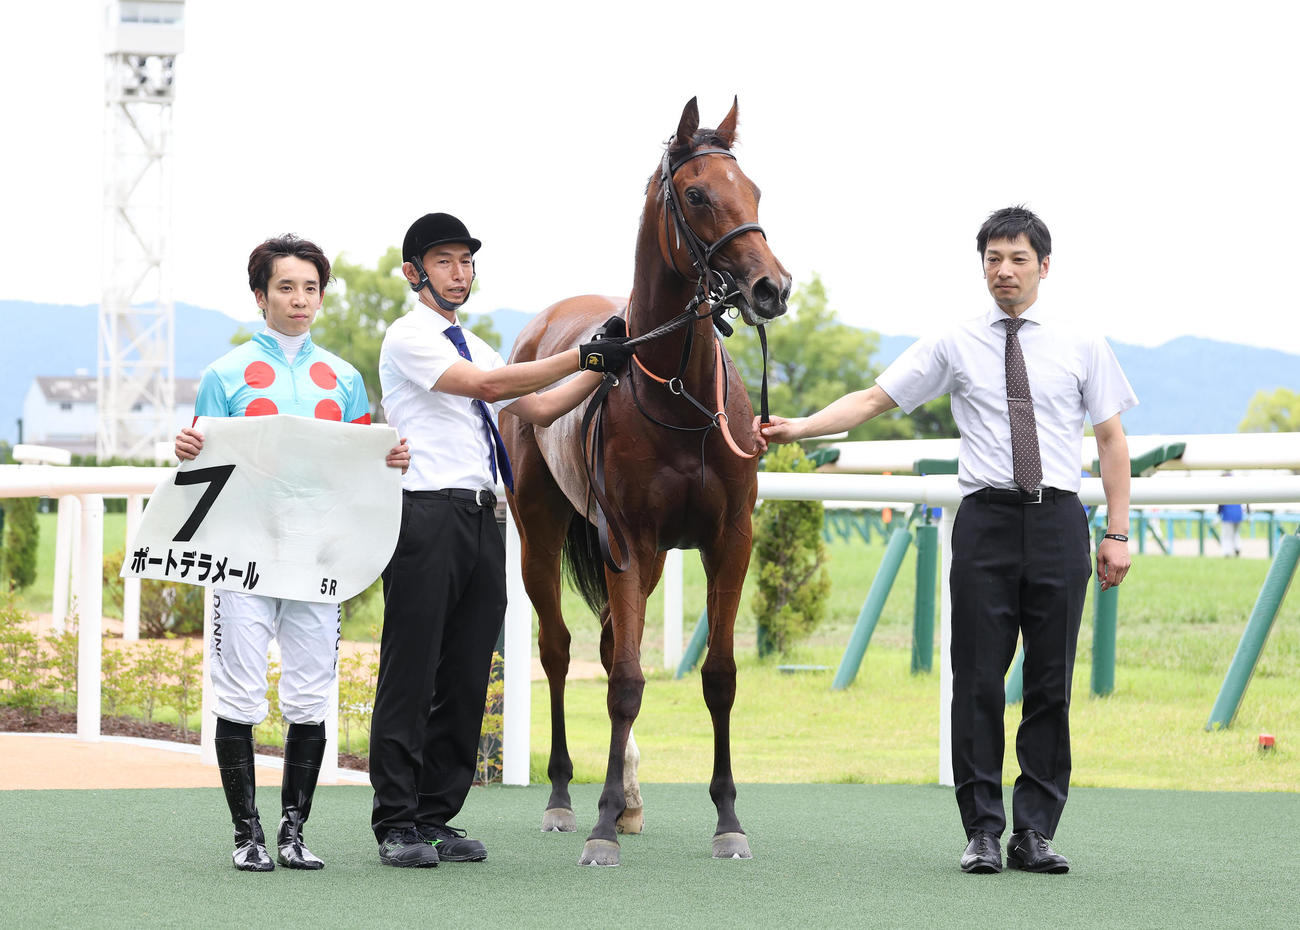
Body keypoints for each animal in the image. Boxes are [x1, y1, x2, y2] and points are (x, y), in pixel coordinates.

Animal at [501, 97, 790, 867]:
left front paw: (728, 820)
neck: (677, 395)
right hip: (540, 533)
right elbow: (626, 681)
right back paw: (565, 797)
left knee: (605, 647)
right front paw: (600, 827)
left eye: (753, 190)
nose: (771, 288)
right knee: (562, 652)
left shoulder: (728, 538)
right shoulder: (627, 540)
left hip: (652, 559)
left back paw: (627, 796)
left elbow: (718, 676)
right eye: (696, 195)